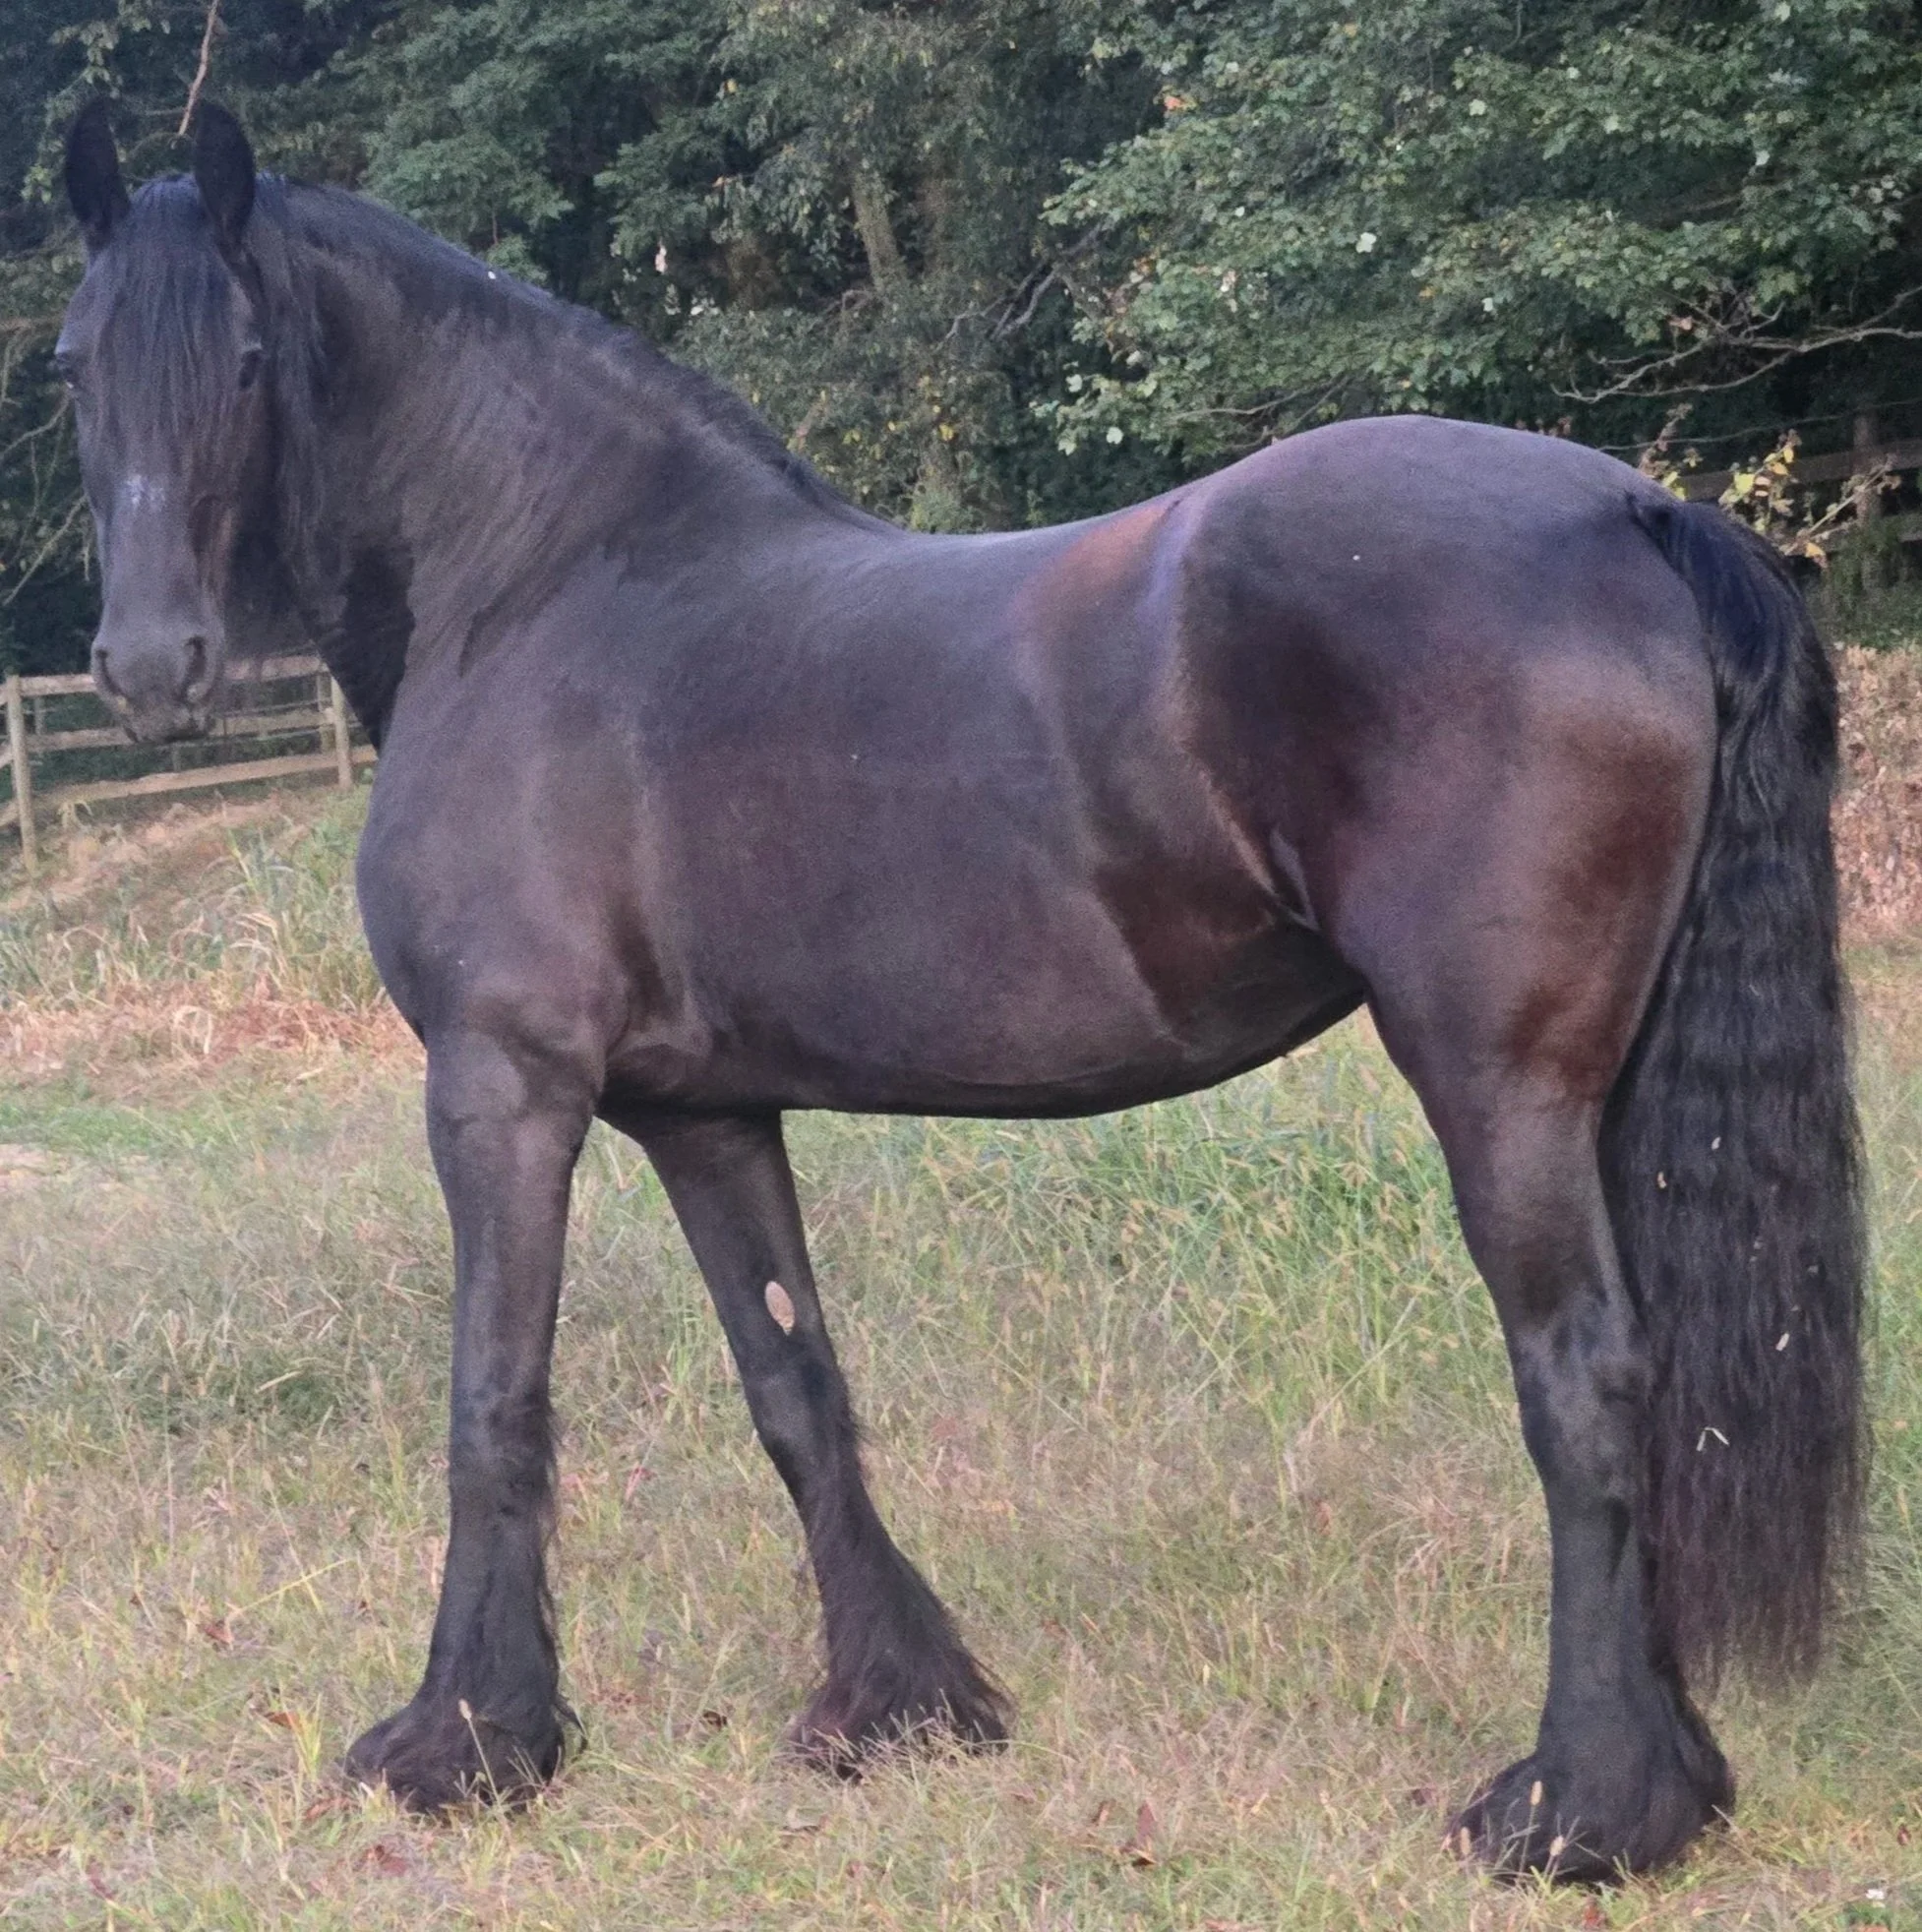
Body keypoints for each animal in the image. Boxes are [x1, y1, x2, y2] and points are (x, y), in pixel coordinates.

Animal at [56, 98, 1863, 1882]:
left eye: (240, 356)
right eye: (74, 361)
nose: (148, 670)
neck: (539, 585)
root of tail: (1628, 510)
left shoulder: (503, 1086)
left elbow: (491, 1401)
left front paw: (468, 1740)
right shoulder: (704, 1113)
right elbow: (794, 1387)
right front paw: (897, 1703)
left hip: (1500, 1088)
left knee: (1581, 1381)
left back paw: (1577, 1806)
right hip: (1603, 1091)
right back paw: (1667, 1776)